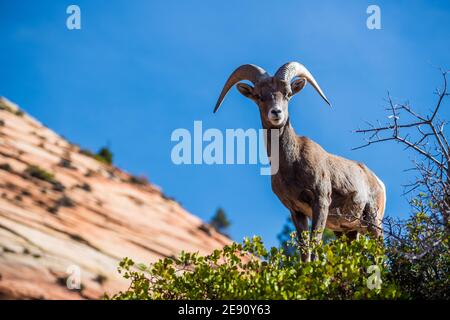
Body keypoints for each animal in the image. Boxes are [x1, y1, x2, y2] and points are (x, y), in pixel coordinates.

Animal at [214, 62, 386, 260]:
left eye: (287, 94)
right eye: (259, 96)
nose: (276, 113)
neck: (291, 164)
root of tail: (378, 182)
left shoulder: (321, 202)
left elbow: (315, 243)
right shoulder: (296, 211)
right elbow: (304, 248)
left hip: (373, 222)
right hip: (347, 232)